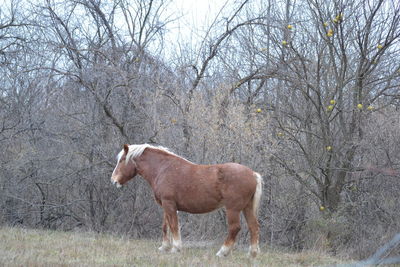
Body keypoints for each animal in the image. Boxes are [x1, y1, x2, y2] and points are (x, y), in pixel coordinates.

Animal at [111, 146, 264, 258]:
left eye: (122, 160)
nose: (113, 180)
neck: (163, 169)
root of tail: (252, 174)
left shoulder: (169, 204)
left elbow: (174, 226)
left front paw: (176, 248)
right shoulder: (166, 205)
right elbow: (165, 226)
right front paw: (165, 247)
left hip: (233, 209)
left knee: (234, 228)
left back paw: (222, 252)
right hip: (247, 207)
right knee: (253, 227)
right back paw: (252, 254)